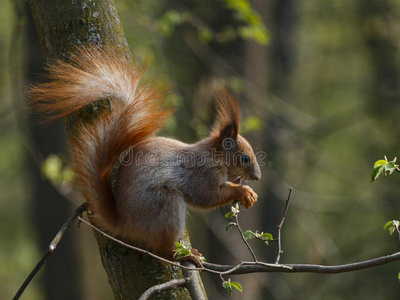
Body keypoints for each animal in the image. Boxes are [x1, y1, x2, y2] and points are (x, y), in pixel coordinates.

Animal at [31, 46, 262, 258]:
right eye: (245, 158)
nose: (258, 177)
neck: (214, 156)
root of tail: (126, 222)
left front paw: (248, 192)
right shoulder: (202, 173)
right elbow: (207, 196)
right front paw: (242, 191)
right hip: (164, 205)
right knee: (160, 248)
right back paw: (184, 254)